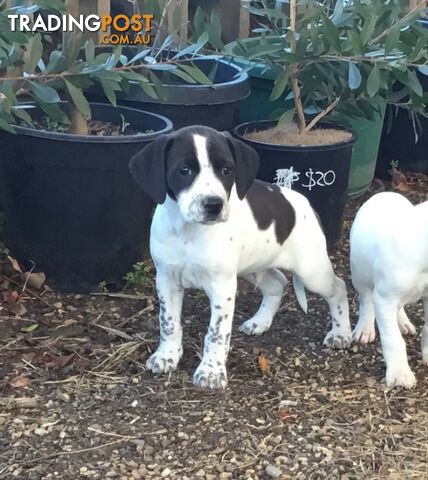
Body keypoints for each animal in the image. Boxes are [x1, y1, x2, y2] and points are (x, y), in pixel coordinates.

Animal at [130, 125, 352, 388]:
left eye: (226, 170)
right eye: (184, 171)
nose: (213, 205)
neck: (189, 233)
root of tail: (306, 204)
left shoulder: (222, 286)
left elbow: (216, 333)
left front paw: (211, 371)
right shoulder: (166, 280)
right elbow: (168, 322)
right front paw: (167, 356)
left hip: (311, 271)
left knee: (338, 287)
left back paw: (341, 333)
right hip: (253, 268)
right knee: (278, 283)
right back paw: (260, 322)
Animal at [352, 189, 428, 388]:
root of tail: (385, 193)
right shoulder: (384, 299)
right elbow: (393, 339)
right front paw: (399, 373)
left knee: (399, 306)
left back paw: (402, 322)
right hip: (360, 275)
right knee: (366, 300)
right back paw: (365, 328)